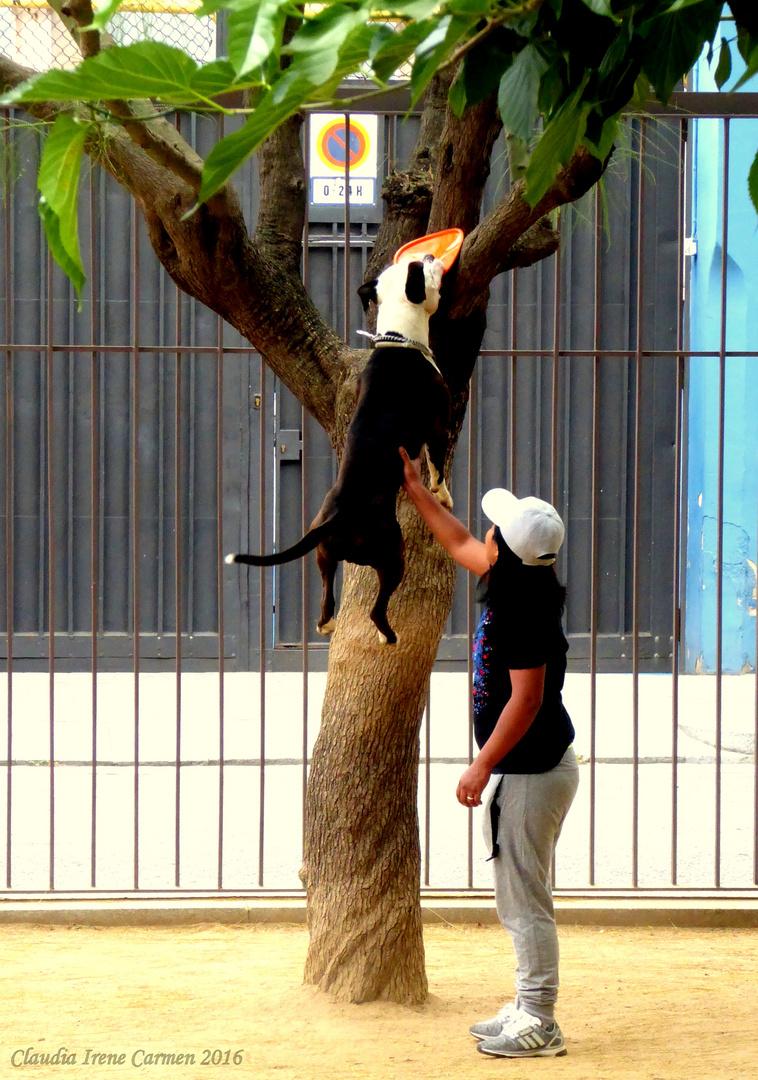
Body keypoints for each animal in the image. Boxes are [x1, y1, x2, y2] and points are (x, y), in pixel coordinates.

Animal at [225, 254, 451, 639]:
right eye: (424, 268)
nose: (431, 255)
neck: (398, 340)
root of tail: (339, 517)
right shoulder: (437, 421)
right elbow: (438, 463)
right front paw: (442, 495)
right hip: (392, 553)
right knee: (377, 608)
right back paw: (387, 636)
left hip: (323, 554)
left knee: (325, 600)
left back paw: (328, 625)